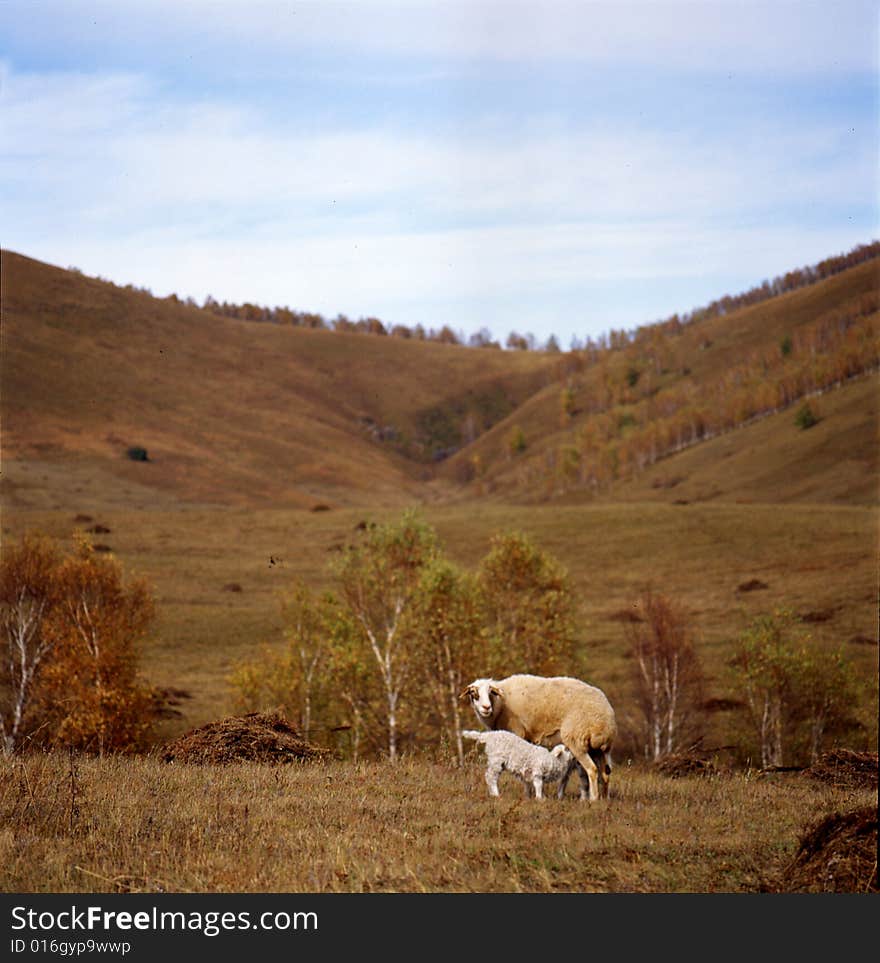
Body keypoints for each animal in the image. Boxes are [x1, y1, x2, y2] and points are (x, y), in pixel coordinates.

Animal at [464, 676, 616, 804]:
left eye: (491, 692)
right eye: (473, 693)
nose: (486, 708)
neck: (501, 704)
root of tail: (606, 720)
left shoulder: (517, 732)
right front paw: (529, 793)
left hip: (577, 739)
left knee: (592, 770)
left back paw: (593, 799)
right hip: (600, 749)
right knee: (605, 773)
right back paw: (604, 798)